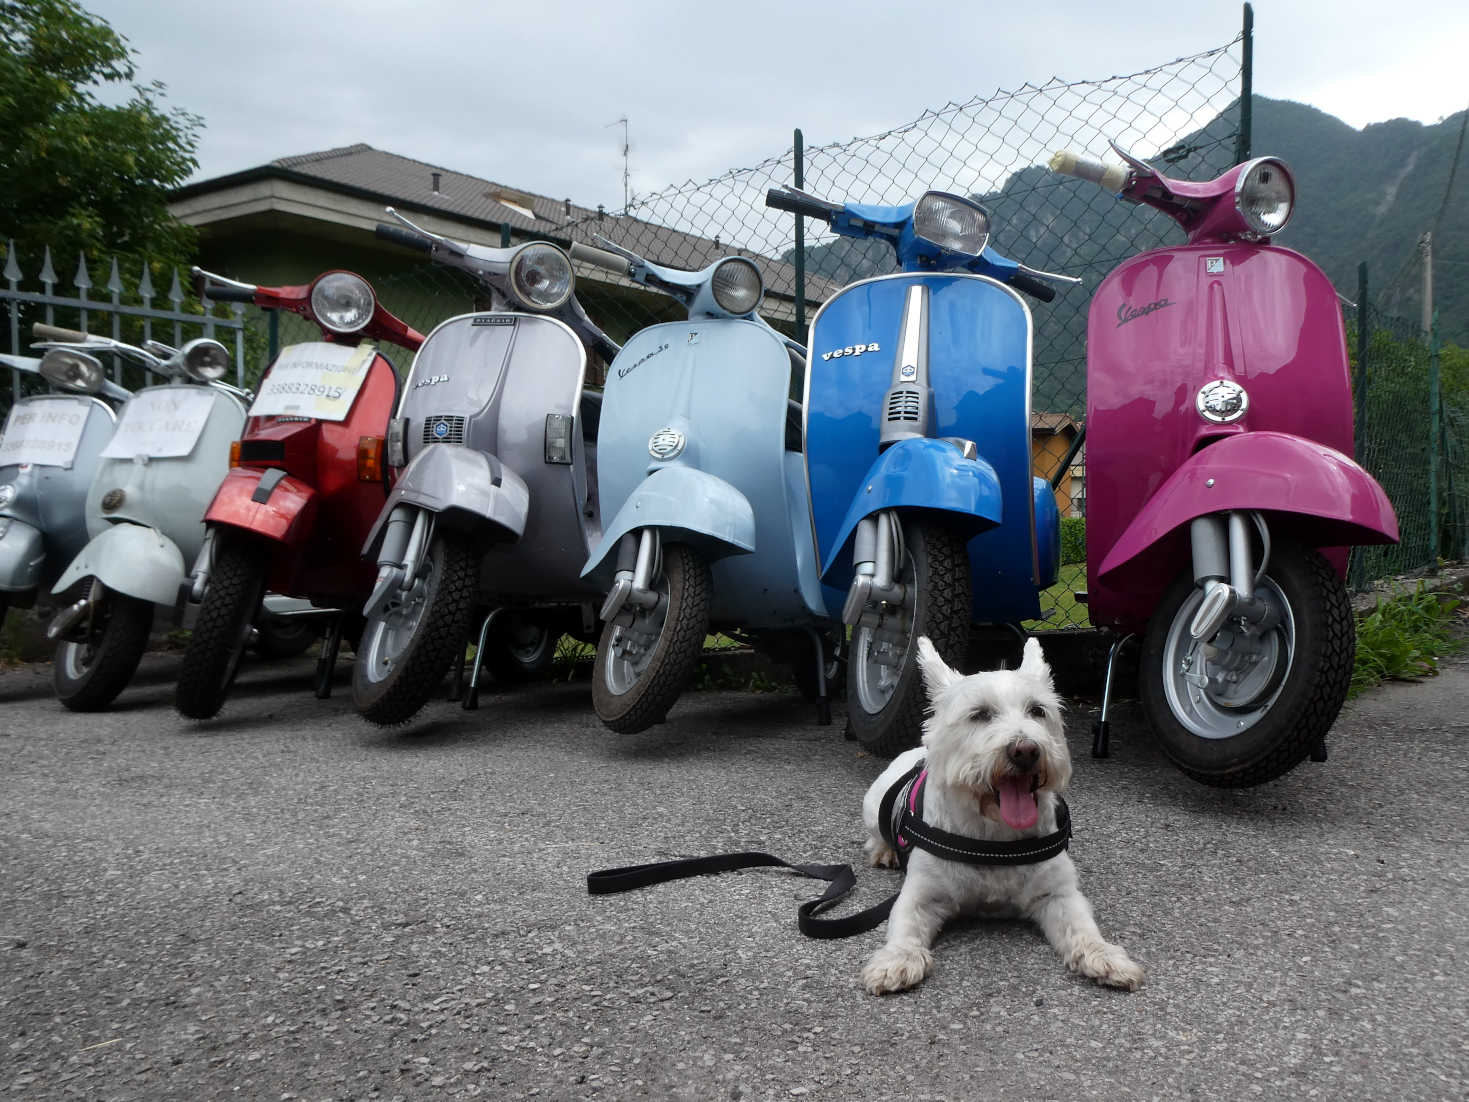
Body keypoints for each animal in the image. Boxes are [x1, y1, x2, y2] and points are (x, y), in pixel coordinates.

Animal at [857, 634, 1145, 999]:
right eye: (979, 714)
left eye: (1038, 710)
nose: (1026, 751)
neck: (995, 837)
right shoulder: (922, 894)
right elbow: (904, 924)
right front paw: (896, 960)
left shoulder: (1059, 895)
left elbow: (1082, 928)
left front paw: (1105, 956)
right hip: (873, 803)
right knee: (876, 833)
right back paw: (885, 851)